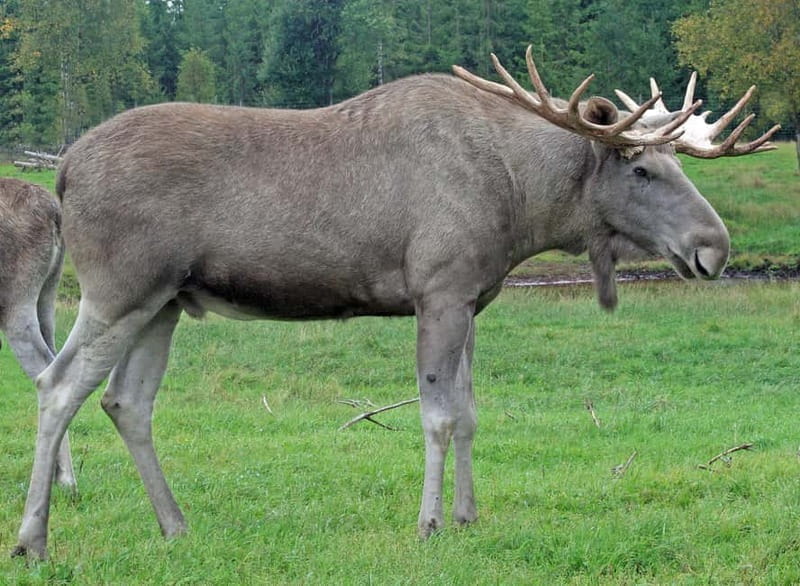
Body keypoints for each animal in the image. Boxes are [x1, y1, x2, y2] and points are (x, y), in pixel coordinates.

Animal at [13, 47, 779, 559]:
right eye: (643, 169)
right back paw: (32, 540)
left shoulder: (473, 298)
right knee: (56, 385)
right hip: (118, 288)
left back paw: (174, 525)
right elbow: (436, 417)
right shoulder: (438, 288)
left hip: (166, 300)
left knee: (126, 401)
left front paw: (470, 517)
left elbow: (469, 414)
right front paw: (430, 524)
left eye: (675, 163)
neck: (523, 207)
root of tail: (63, 169)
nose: (715, 246)